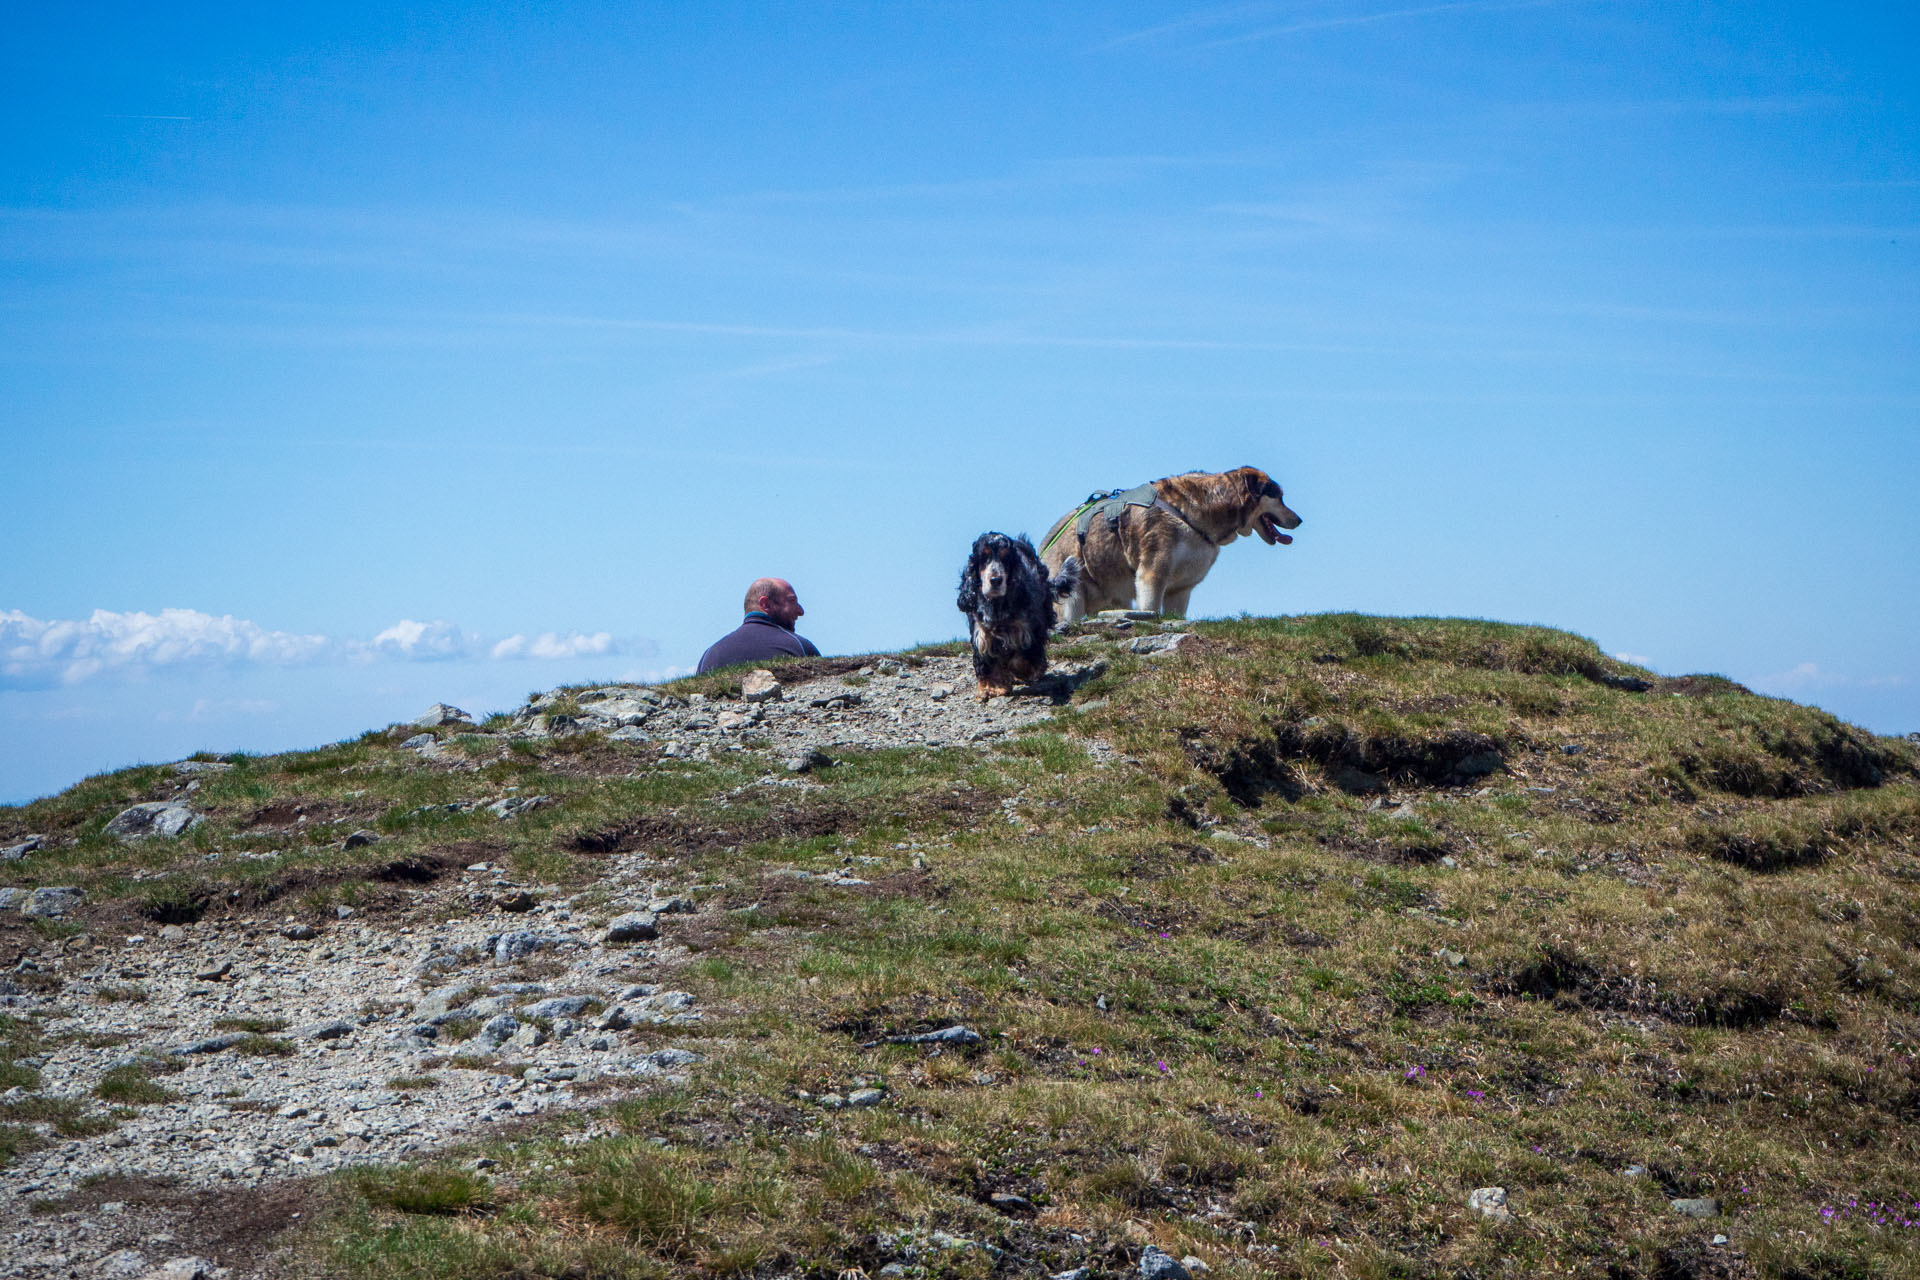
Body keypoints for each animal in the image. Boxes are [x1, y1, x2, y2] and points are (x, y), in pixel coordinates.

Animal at [1044, 468, 1297, 621]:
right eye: (1279, 497)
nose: (1299, 520)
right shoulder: (1151, 573)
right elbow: (1151, 608)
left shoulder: (1181, 589)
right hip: (1072, 595)